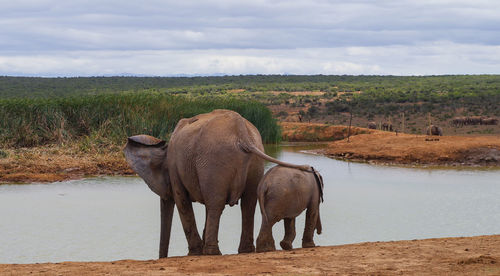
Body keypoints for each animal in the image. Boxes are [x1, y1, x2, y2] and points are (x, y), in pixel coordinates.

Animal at [123, 109, 310, 258]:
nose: (162, 257)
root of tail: (241, 133)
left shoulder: (175, 168)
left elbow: (182, 202)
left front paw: (194, 253)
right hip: (253, 161)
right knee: (247, 203)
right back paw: (244, 251)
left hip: (214, 159)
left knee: (216, 204)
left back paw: (211, 253)